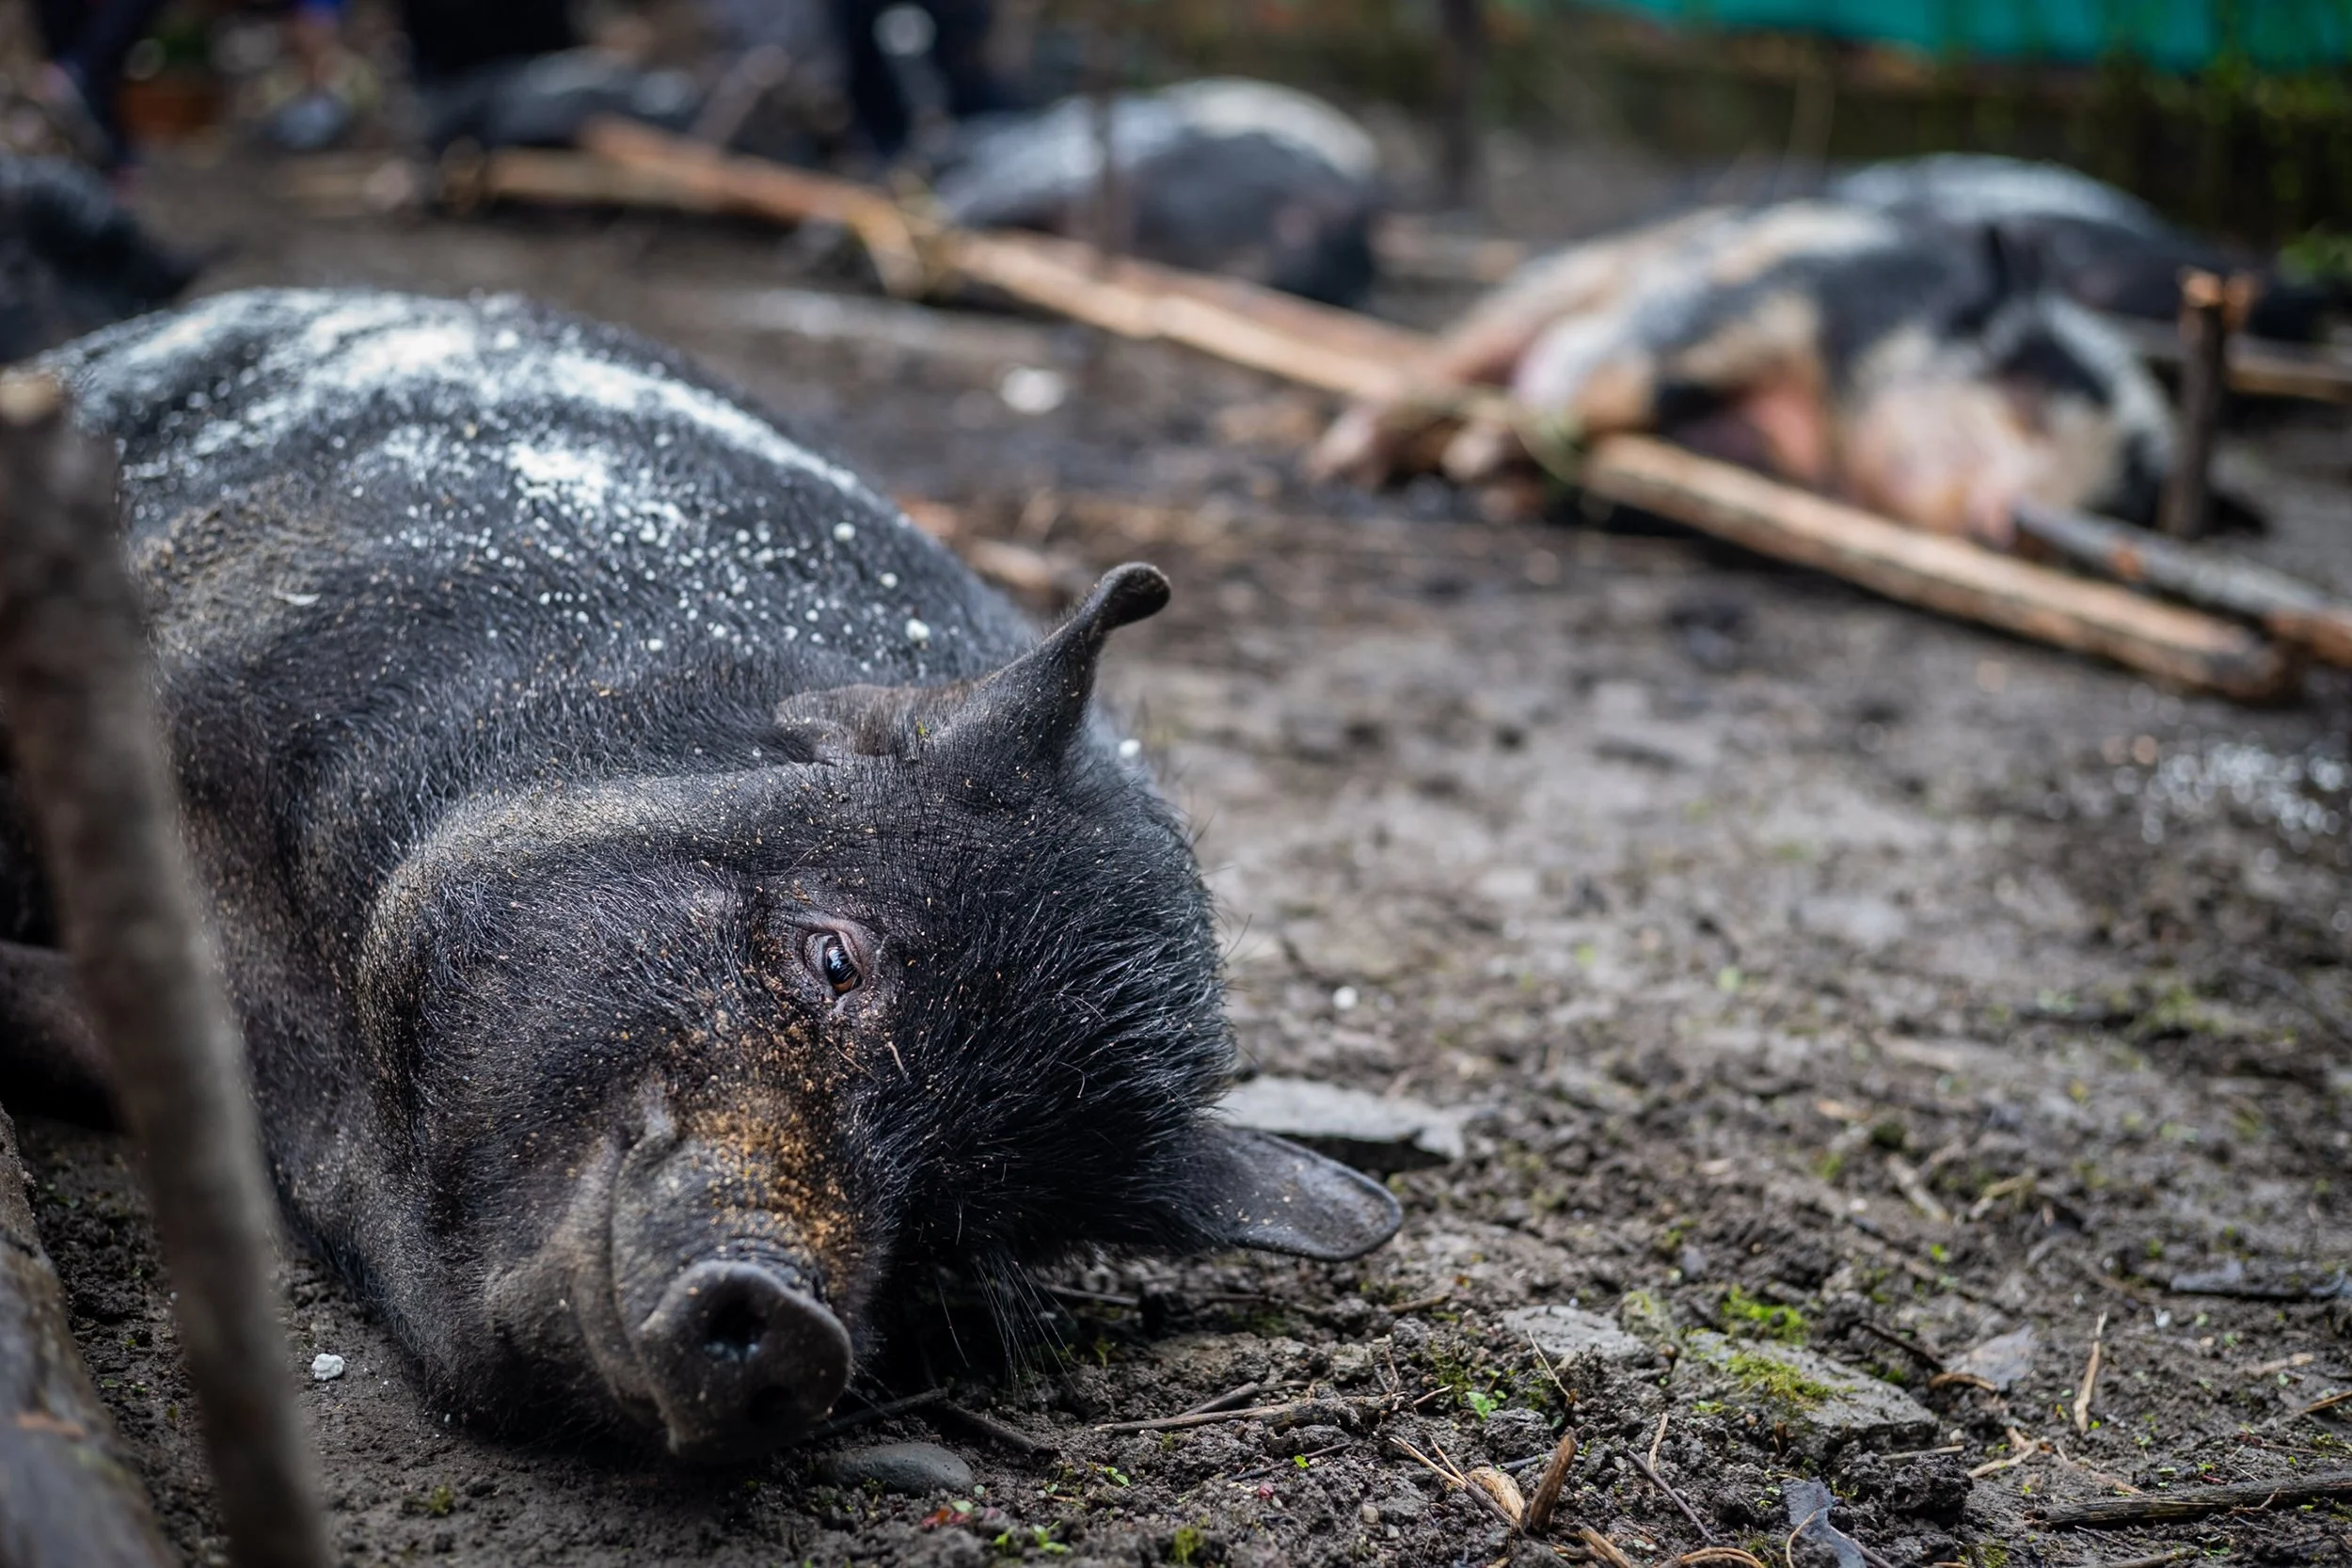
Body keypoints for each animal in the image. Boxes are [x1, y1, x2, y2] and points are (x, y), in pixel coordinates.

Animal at [1312, 197, 2174, 545]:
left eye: (2106, 505)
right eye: (2022, 411)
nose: (2013, 525)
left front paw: (1495, 477)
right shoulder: (1768, 299)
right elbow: (1640, 369)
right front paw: (1484, 455)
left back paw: (1490, 492)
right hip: (1555, 284)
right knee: (1439, 365)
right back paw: (1353, 462)